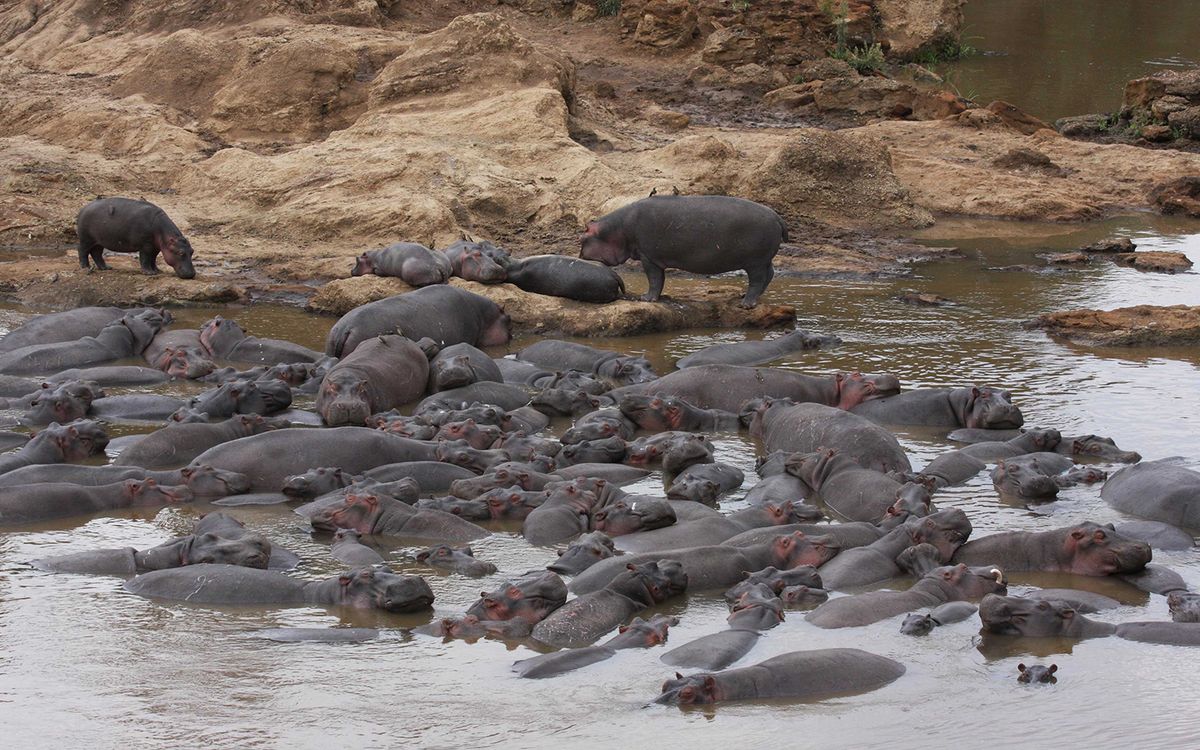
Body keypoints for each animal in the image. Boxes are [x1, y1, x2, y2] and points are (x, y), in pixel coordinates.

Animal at [580, 195, 785, 307]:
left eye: (582, 239)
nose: (580, 256)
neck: (617, 229)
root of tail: (776, 216)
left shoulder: (649, 257)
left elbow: (654, 280)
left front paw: (646, 298)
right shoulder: (655, 258)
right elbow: (660, 280)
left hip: (755, 262)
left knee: (758, 280)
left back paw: (746, 304)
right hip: (764, 260)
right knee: (769, 274)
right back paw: (746, 298)